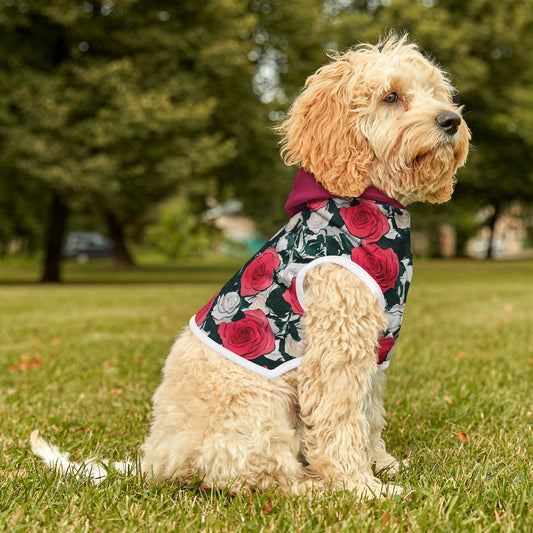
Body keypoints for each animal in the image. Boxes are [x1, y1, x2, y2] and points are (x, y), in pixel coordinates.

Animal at [31, 35, 468, 496]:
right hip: (259, 410)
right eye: (391, 97)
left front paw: (382, 465)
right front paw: (361, 487)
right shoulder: (336, 349)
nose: (451, 120)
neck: (368, 201)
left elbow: (369, 415)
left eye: (436, 93)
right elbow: (342, 422)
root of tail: (156, 460)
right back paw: (313, 487)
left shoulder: (374, 349)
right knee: (258, 476)